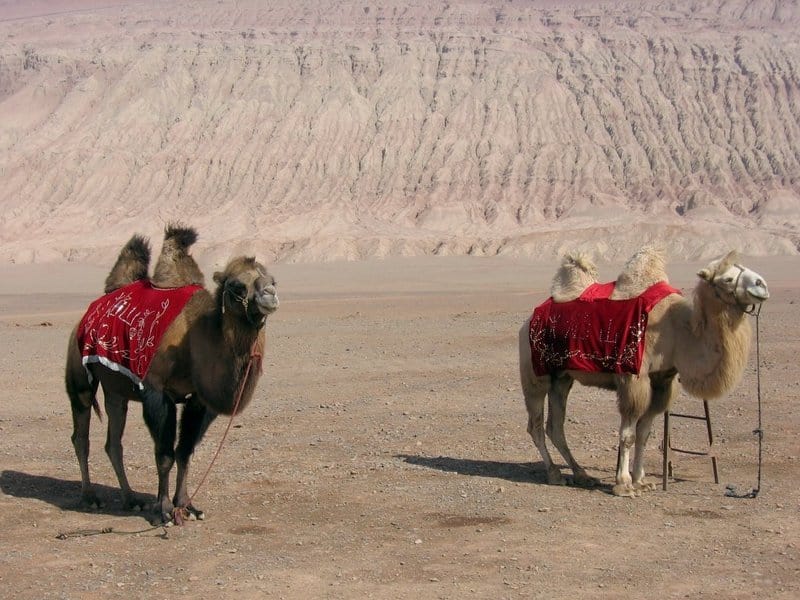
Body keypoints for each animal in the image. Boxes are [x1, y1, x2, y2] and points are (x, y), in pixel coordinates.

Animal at [64, 227, 280, 524]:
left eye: (272, 280)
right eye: (237, 285)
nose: (270, 295)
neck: (196, 340)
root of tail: (87, 314)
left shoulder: (199, 400)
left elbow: (185, 452)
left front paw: (187, 505)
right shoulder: (157, 391)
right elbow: (165, 454)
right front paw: (165, 509)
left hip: (116, 390)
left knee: (113, 442)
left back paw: (130, 499)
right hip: (79, 373)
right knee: (81, 436)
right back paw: (90, 497)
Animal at [520, 246, 768, 494]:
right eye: (727, 279)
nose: (761, 285)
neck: (679, 331)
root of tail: (529, 319)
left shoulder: (661, 381)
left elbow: (644, 434)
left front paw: (641, 480)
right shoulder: (634, 377)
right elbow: (628, 435)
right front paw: (624, 485)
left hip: (562, 378)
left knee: (555, 427)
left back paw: (582, 474)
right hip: (535, 374)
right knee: (536, 426)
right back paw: (554, 474)